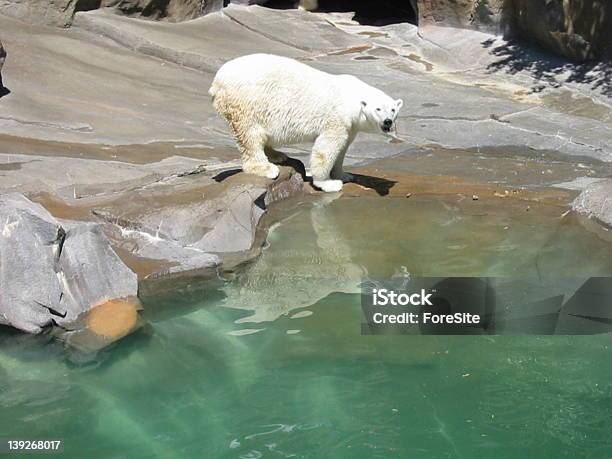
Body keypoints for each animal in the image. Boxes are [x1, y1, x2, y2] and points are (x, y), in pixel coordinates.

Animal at [208, 54, 404, 193]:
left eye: (393, 109)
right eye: (378, 109)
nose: (388, 121)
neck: (352, 97)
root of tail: (216, 82)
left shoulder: (351, 126)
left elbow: (343, 148)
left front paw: (344, 175)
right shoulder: (336, 119)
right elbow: (327, 148)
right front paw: (328, 183)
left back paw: (278, 155)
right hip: (247, 103)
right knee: (251, 135)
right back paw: (267, 168)